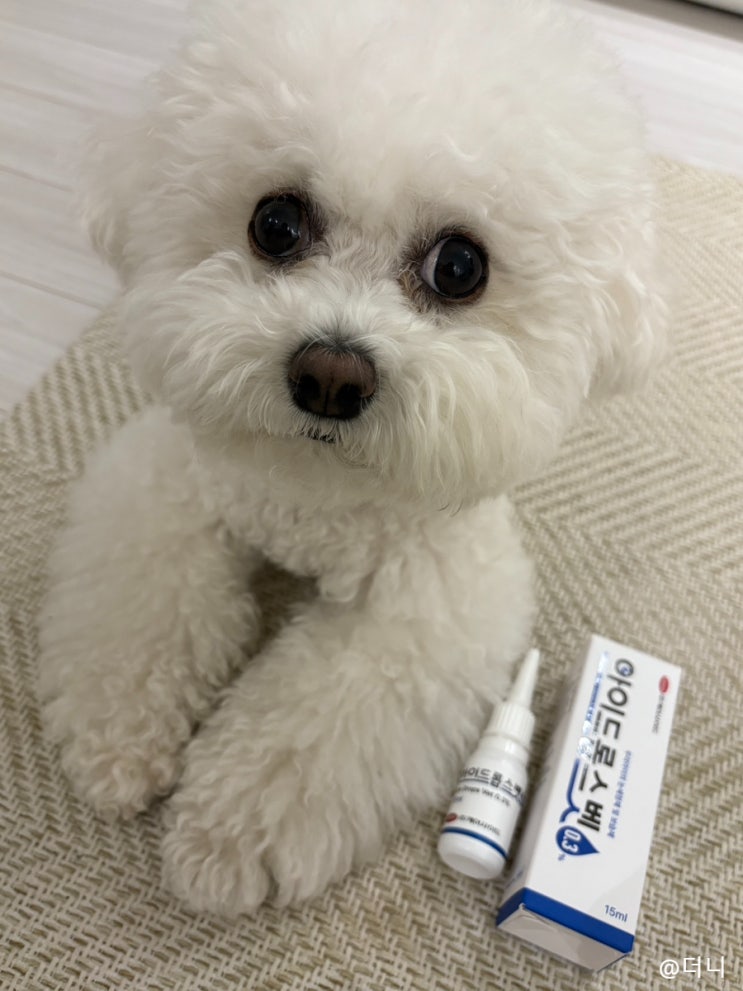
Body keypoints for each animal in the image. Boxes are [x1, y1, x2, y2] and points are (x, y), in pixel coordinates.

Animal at [38, 0, 665, 916]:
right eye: (275, 223)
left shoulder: (430, 603)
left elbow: (314, 721)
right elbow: (147, 609)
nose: (330, 375)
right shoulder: (169, 489)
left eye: (459, 266)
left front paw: (225, 837)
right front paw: (116, 738)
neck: (315, 496)